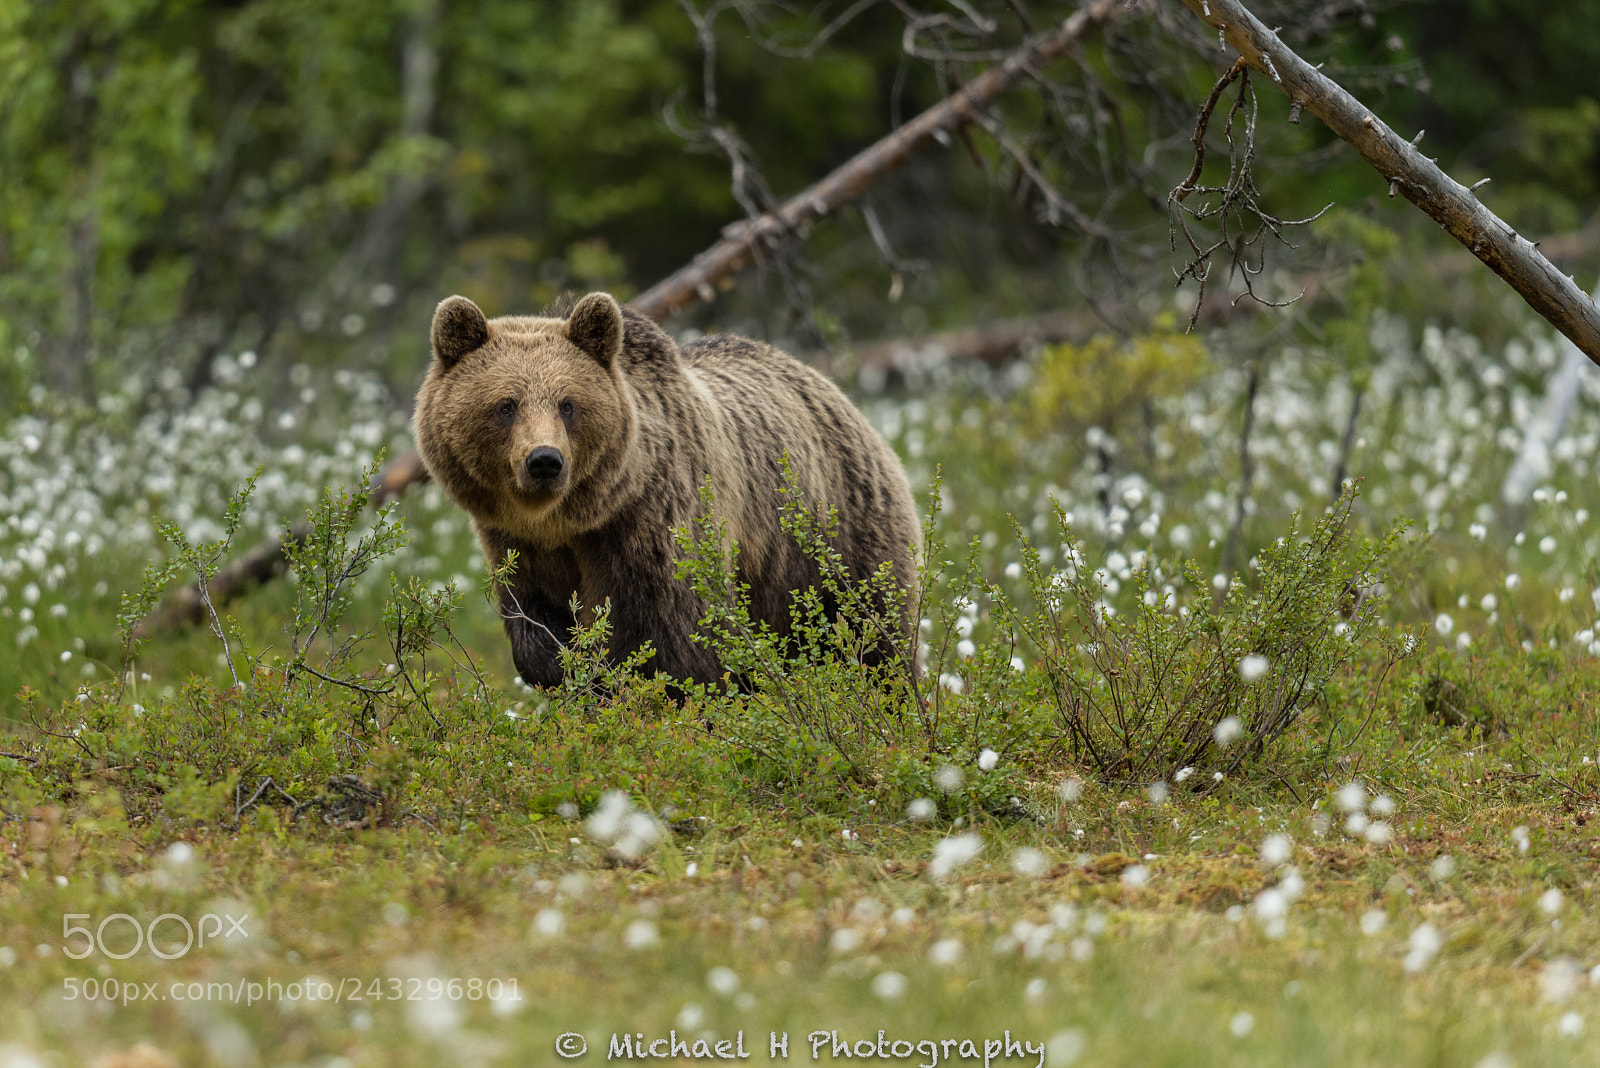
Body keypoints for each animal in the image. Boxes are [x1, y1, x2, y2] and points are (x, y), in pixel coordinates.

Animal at [412, 291, 920, 689]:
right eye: (506, 405)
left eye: (568, 404)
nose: (544, 461)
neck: (575, 517)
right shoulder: (517, 544)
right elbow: (535, 618)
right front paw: (561, 665)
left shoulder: (652, 522)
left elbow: (671, 639)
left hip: (837, 535)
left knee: (877, 638)